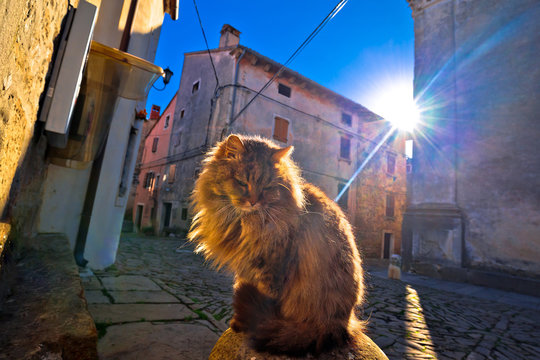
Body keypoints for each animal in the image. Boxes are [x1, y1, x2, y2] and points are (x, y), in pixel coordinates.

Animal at [188, 135, 364, 358]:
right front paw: (238, 323)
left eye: (267, 187)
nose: (253, 202)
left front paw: (244, 325)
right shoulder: (246, 268)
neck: (243, 223)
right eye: (242, 183)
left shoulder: (271, 268)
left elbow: (264, 300)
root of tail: (343, 323)